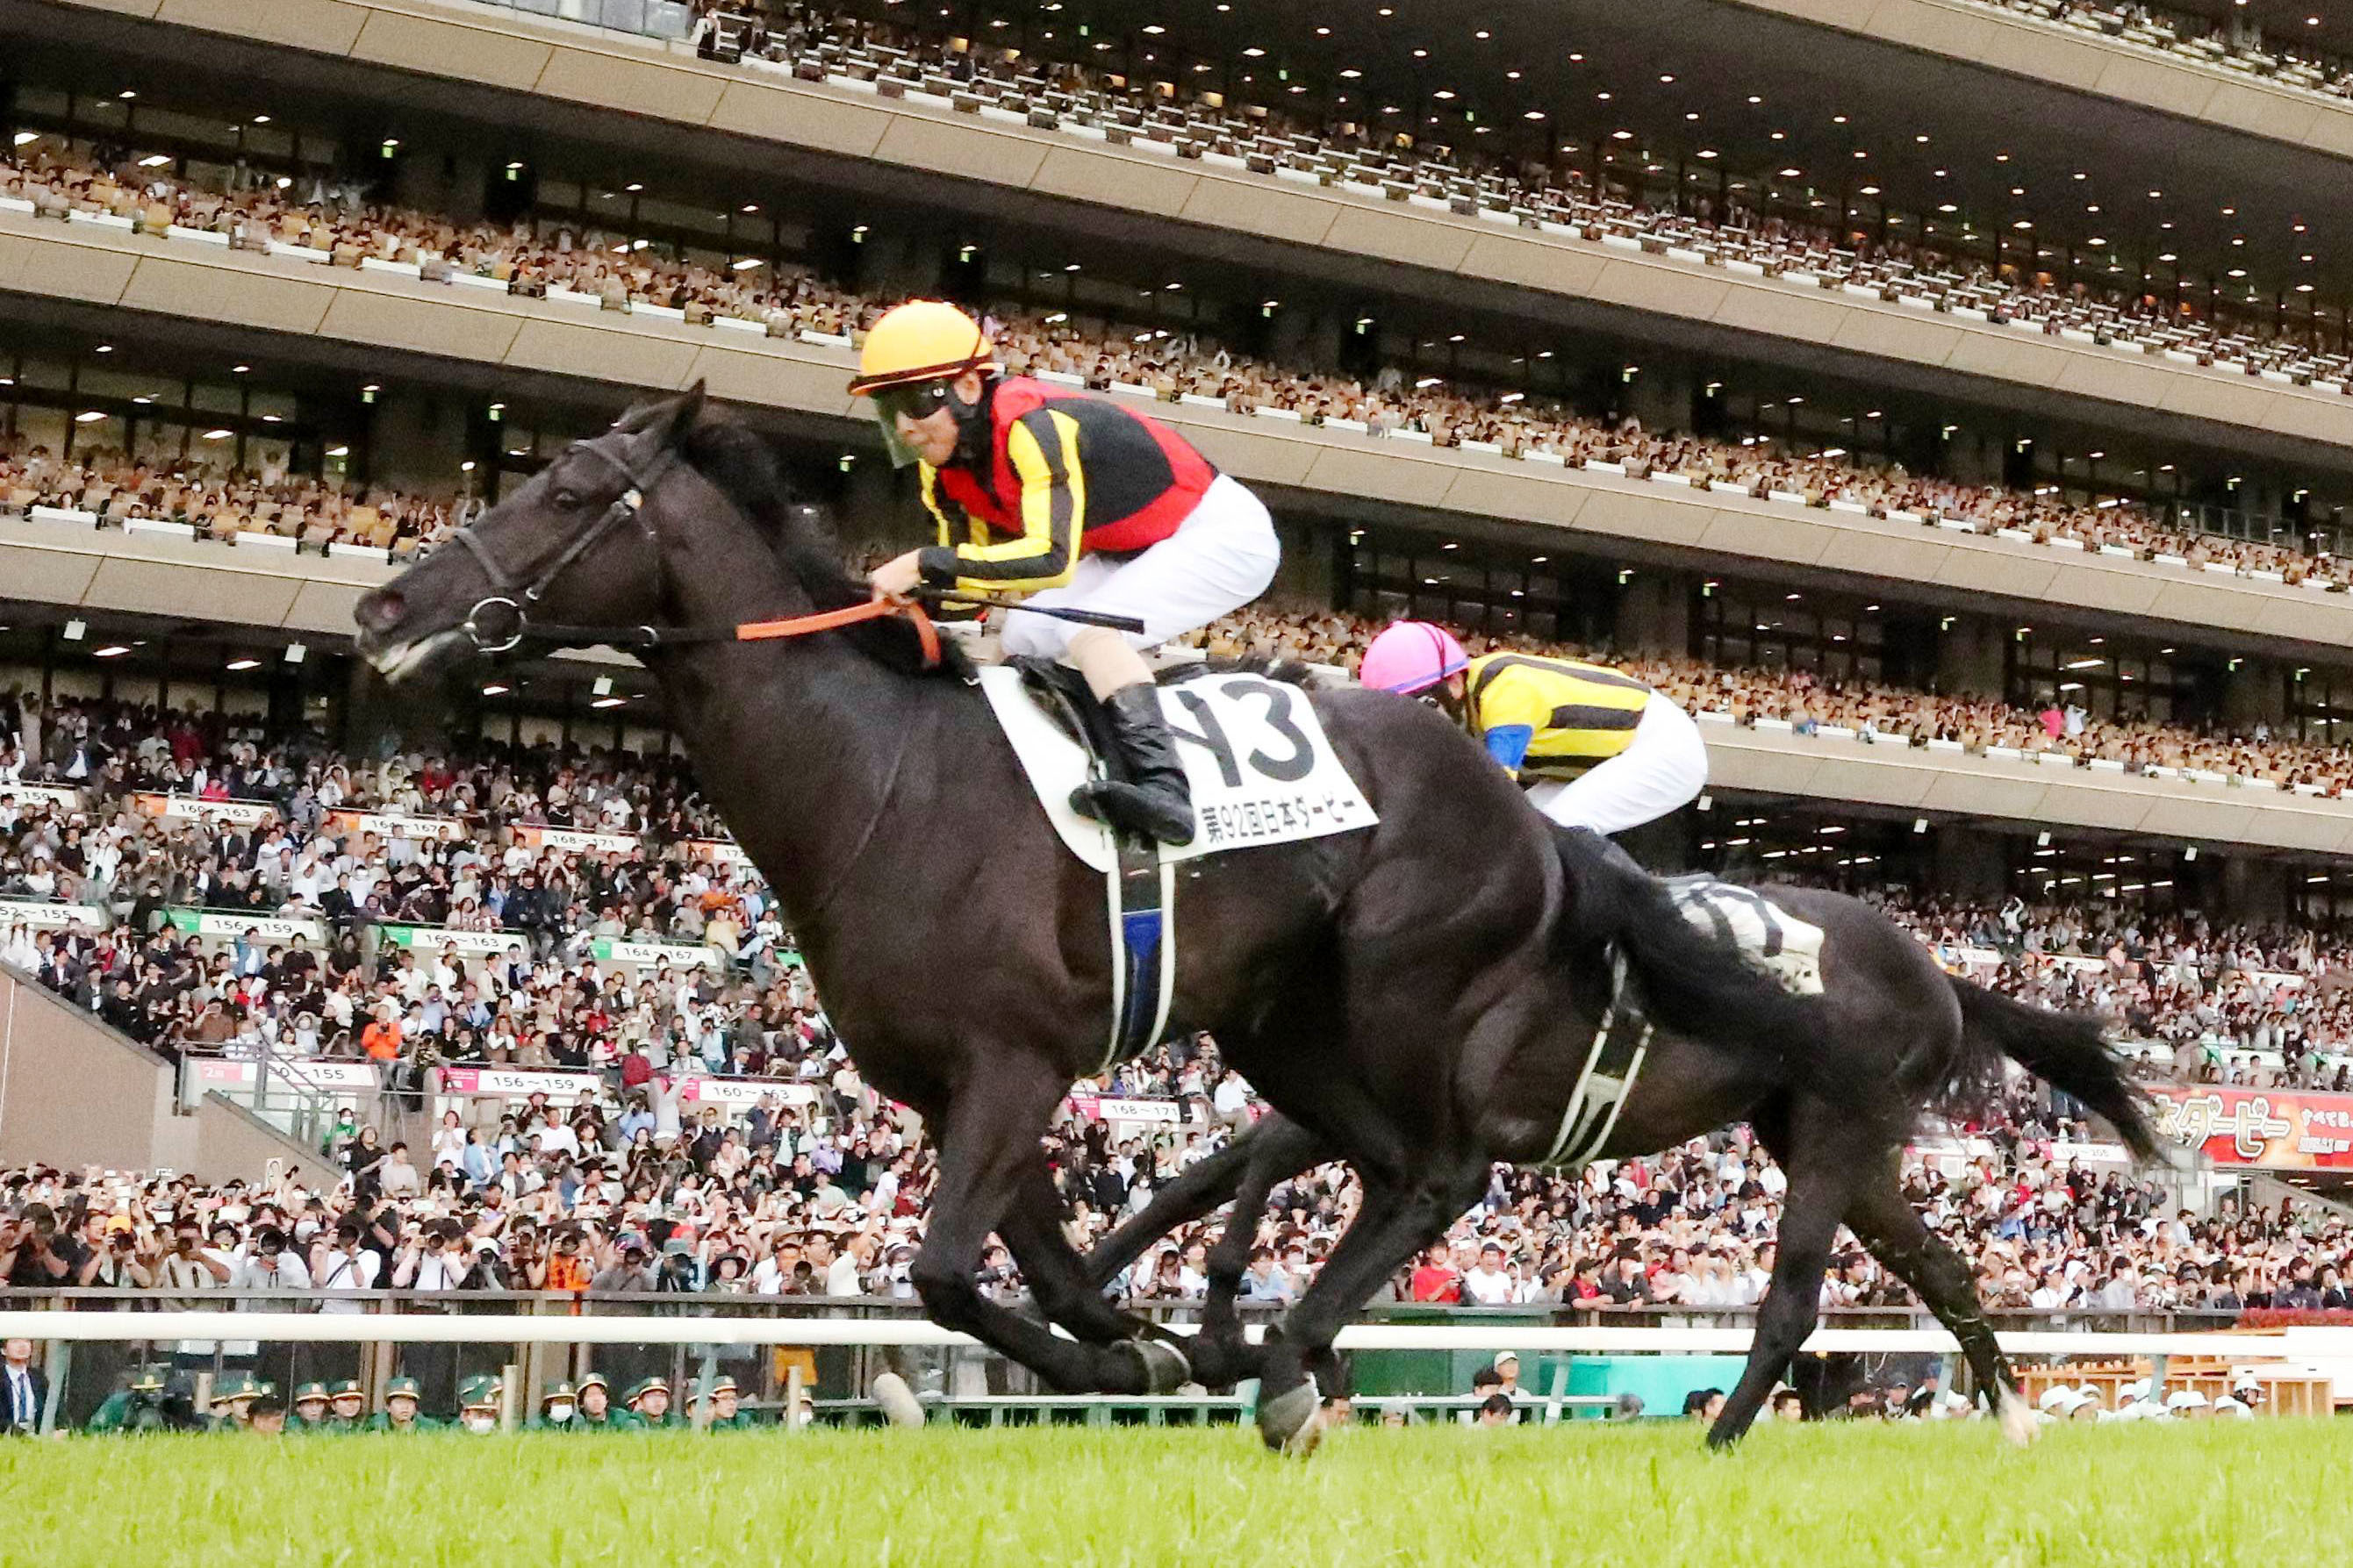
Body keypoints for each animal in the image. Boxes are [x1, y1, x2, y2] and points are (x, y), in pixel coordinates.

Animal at [351, 387, 1833, 1450]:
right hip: (1283, 1023)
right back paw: (1274, 1348)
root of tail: (1519, 813)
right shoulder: (953, 1083)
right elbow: (1032, 1266)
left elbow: (945, 1270)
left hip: (1403, 993)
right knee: (1377, 1163)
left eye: (566, 490)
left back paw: (1288, 1362)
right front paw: (1151, 1337)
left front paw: (1139, 1347)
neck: (881, 776)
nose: (380, 605)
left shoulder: (1016, 1061)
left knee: (1439, 1170)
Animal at [1082, 870, 2162, 1446]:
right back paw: (2013, 1414)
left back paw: (1718, 1436)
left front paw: (1221, 1314)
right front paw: (1110, 1286)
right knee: (1940, 1266)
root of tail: (1939, 976)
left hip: (1831, 1133)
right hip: (1837, 1143)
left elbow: (1253, 1158)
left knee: (1793, 1301)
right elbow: (1205, 1173)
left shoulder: (1416, 1115)